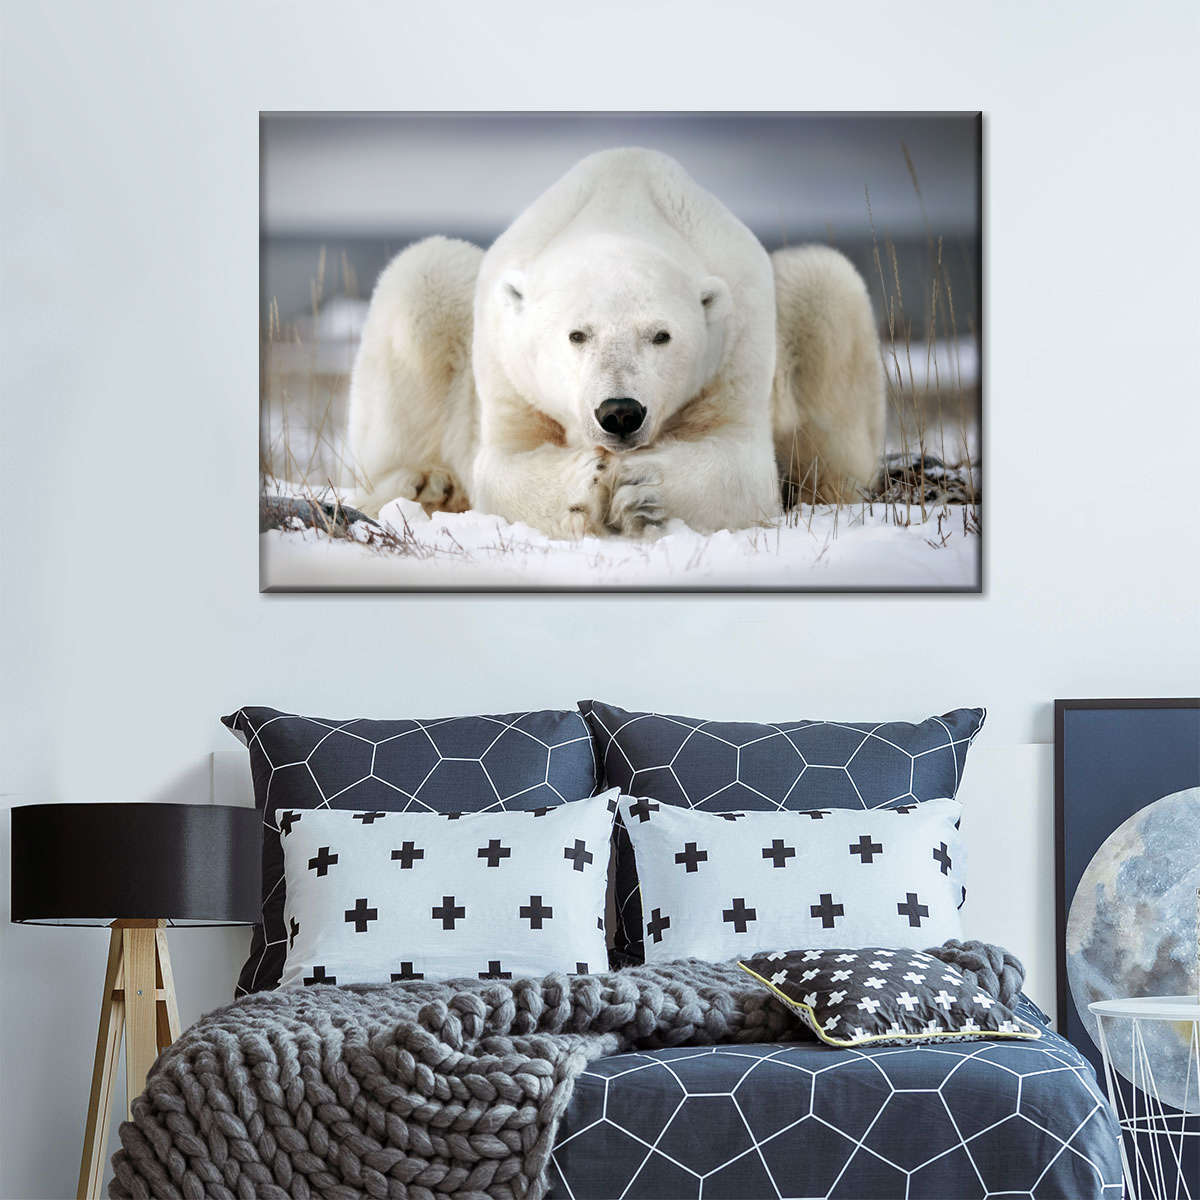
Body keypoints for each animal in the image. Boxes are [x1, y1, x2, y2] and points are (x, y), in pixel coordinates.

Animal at [346, 147, 885, 534]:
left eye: (662, 335)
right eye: (577, 334)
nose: (620, 412)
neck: (621, 206)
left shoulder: (737, 341)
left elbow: (742, 464)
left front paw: (641, 487)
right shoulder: (506, 364)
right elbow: (503, 463)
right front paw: (585, 483)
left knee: (826, 288)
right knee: (423, 279)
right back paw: (425, 485)